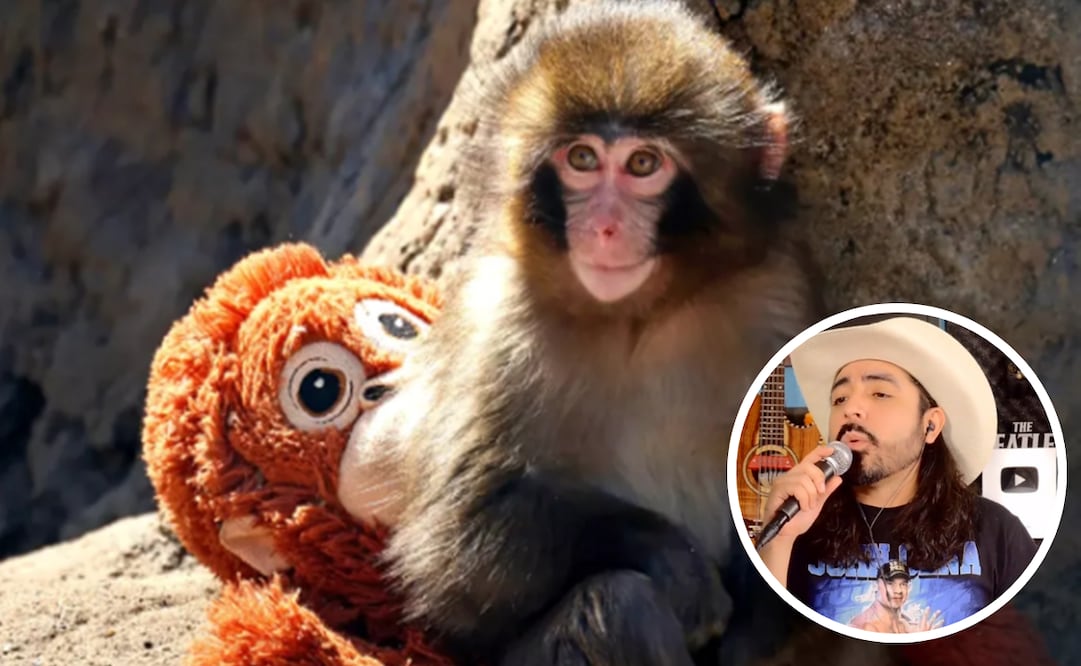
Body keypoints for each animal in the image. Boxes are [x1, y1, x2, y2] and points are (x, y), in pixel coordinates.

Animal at [350, 1, 823, 663]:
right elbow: (453, 547)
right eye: (581, 160)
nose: (602, 226)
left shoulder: (779, 291)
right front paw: (674, 559)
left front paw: (758, 617)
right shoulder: (497, 320)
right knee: (615, 604)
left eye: (643, 165)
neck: (641, 316)